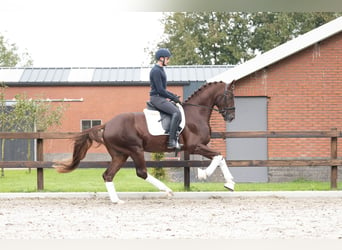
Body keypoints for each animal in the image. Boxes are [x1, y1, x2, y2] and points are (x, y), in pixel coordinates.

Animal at [53, 80, 236, 203]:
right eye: (229, 96)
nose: (231, 117)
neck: (196, 114)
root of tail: (108, 124)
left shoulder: (198, 147)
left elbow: (220, 157)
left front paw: (230, 184)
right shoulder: (194, 146)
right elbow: (218, 156)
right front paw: (205, 174)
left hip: (120, 154)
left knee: (108, 175)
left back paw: (116, 200)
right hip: (135, 149)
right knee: (141, 172)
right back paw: (166, 190)